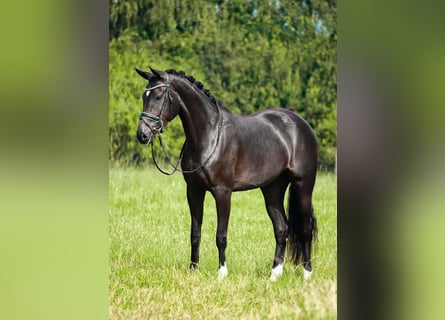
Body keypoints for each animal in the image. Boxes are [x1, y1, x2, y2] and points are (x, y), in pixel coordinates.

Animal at [134, 67, 316, 280]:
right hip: (272, 189)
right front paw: (193, 270)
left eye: (158, 96)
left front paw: (222, 273)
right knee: (281, 228)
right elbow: (195, 233)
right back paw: (274, 275)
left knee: (305, 228)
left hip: (303, 186)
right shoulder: (194, 191)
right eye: (143, 96)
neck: (210, 136)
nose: (143, 134)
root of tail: (301, 124)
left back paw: (307, 273)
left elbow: (221, 235)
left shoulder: (223, 193)